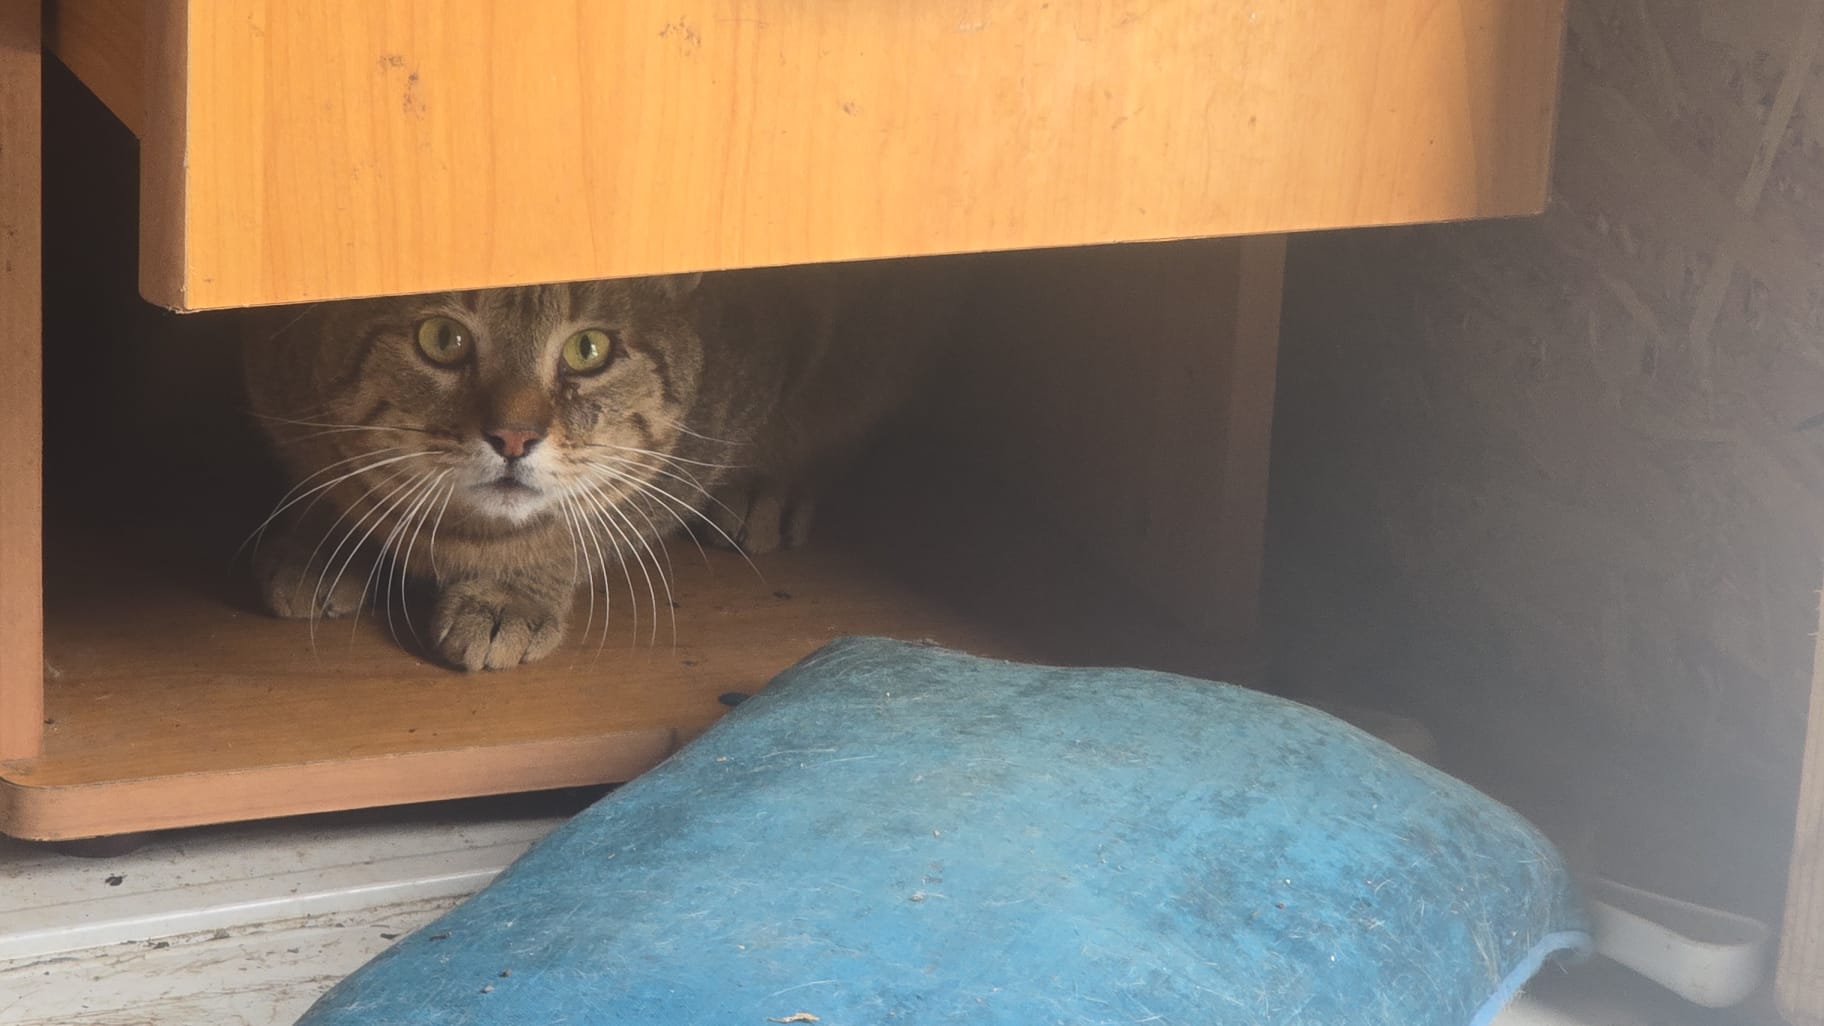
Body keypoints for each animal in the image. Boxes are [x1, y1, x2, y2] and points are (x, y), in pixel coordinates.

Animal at [241, 261, 958, 670]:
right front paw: (320, 540)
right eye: (442, 339)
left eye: (588, 349)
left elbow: (585, 523)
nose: (514, 437)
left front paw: (513, 589)